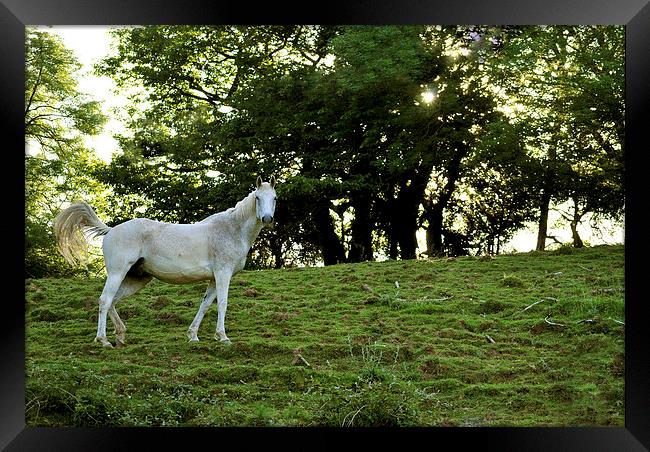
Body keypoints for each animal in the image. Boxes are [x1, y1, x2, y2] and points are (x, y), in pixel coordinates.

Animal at [53, 176, 276, 346]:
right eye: (257, 197)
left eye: (274, 198)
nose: (267, 219)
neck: (232, 229)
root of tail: (111, 230)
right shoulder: (223, 274)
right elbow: (222, 304)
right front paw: (223, 337)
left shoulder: (214, 279)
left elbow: (205, 305)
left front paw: (193, 336)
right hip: (117, 274)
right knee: (105, 301)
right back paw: (104, 340)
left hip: (137, 279)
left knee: (113, 301)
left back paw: (121, 335)